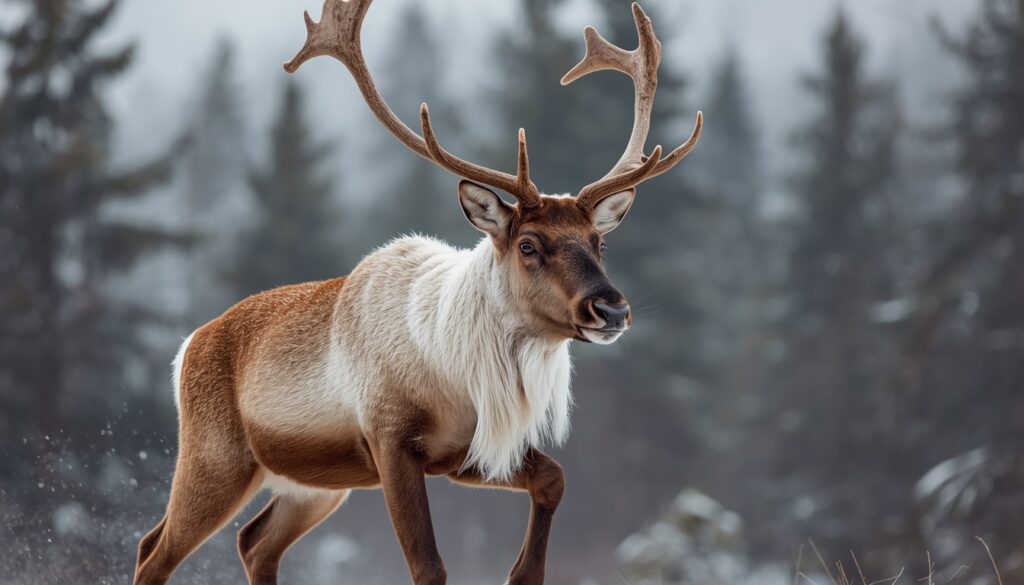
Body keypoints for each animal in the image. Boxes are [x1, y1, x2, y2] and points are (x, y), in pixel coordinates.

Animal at [131, 1, 701, 584]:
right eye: (528, 244)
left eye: (598, 242)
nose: (611, 308)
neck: (454, 372)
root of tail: (187, 346)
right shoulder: (390, 443)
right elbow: (429, 566)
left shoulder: (469, 452)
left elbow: (554, 478)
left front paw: (520, 571)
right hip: (215, 458)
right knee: (155, 550)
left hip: (313, 484)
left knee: (253, 542)